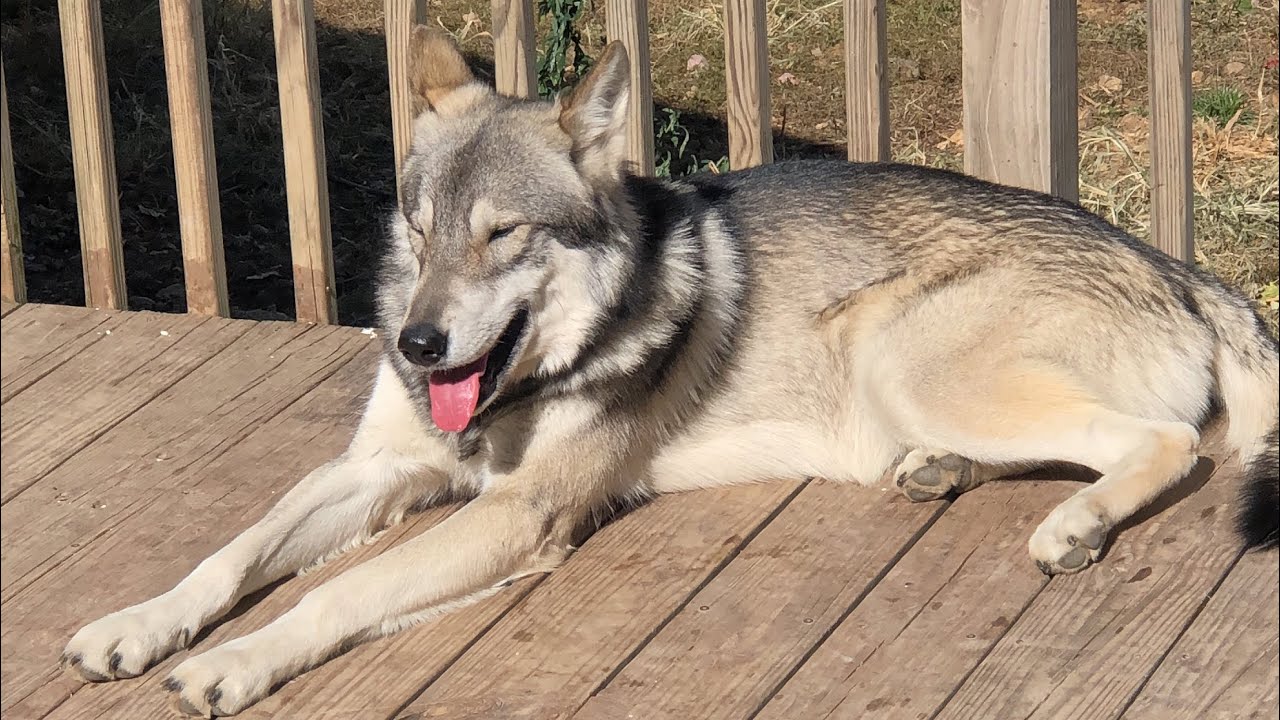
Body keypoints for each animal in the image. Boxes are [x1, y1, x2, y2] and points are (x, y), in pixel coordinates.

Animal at [61, 26, 1279, 716]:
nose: (416, 346)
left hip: (897, 348)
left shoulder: (518, 514)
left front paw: (236, 663)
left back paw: (1072, 525)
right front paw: (138, 624)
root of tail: (1175, 261)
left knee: (1166, 443)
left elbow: (339, 591)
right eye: (423, 227)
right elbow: (231, 553)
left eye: (505, 236)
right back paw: (940, 474)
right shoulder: (375, 470)